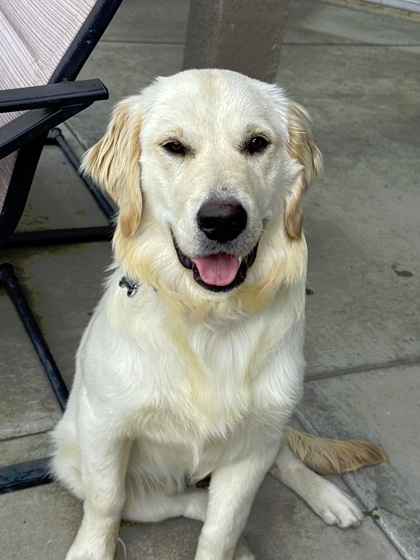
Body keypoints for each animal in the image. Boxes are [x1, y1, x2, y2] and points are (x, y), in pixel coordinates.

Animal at [51, 69, 386, 560]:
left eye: (256, 143)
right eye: (174, 146)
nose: (223, 220)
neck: (207, 316)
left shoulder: (253, 446)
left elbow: (223, 526)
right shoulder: (102, 427)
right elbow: (106, 501)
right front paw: (91, 550)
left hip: (270, 423)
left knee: (280, 462)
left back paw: (330, 498)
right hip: (74, 457)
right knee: (181, 501)